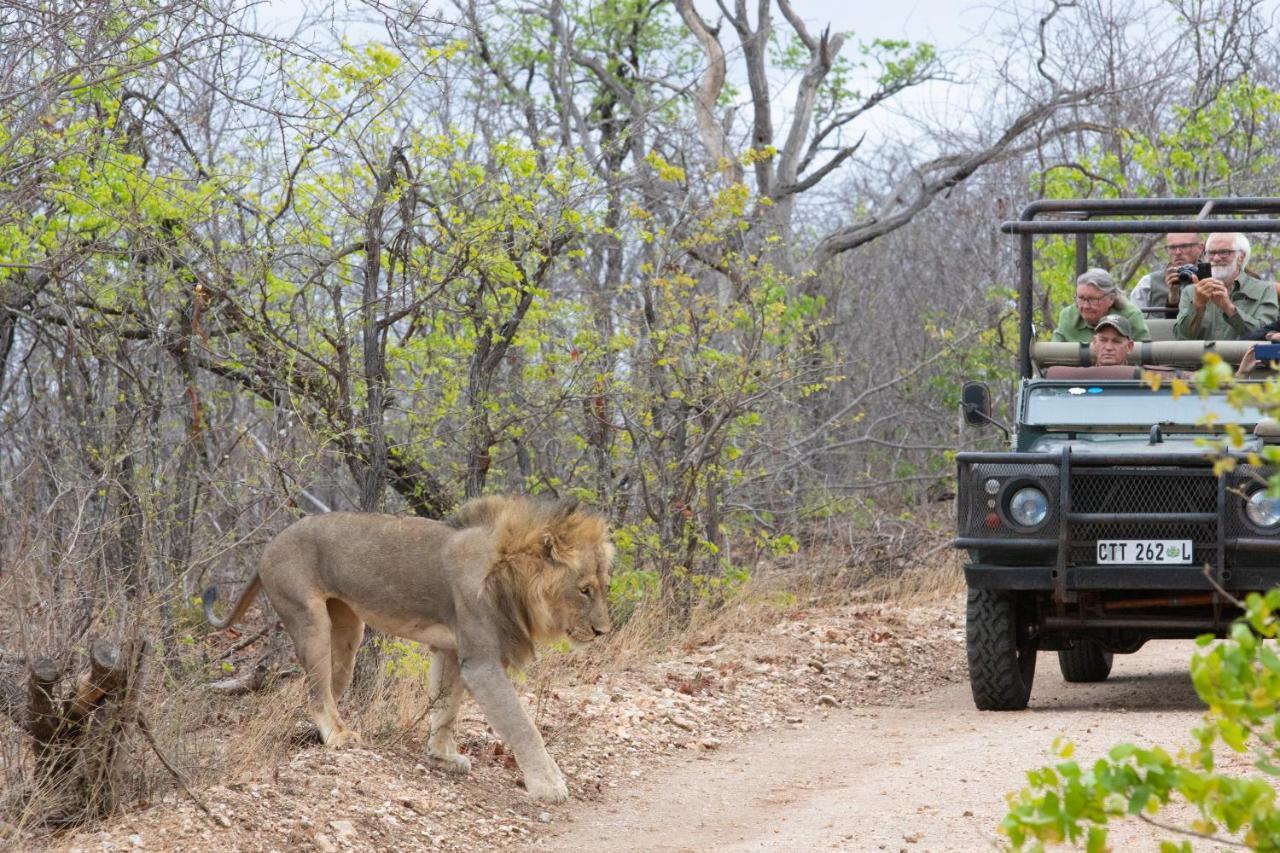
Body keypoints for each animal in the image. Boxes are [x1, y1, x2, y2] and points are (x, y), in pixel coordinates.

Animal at [202, 494, 611, 799]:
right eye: (584, 589)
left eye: (604, 588)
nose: (602, 631)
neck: (510, 573)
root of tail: (269, 545)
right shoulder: (482, 661)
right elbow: (521, 724)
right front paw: (549, 784)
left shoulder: (452, 651)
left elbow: (446, 707)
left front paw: (442, 757)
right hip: (308, 618)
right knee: (315, 693)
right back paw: (339, 737)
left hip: (347, 632)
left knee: (322, 689)